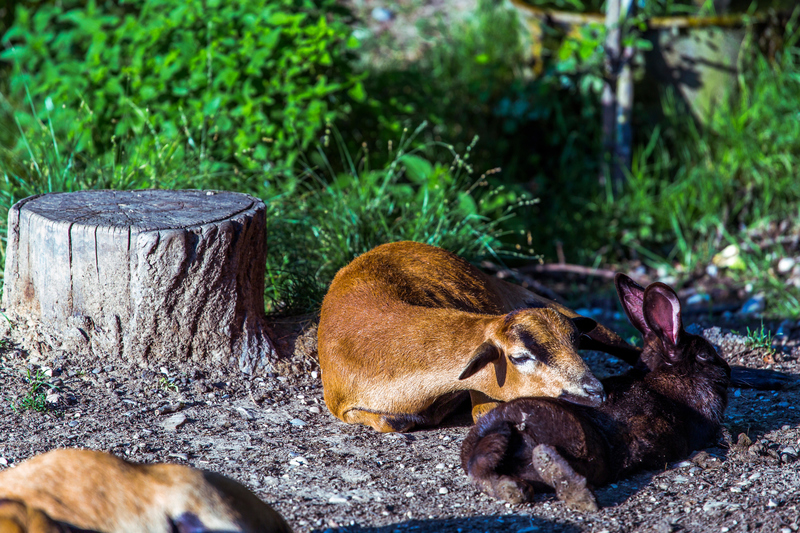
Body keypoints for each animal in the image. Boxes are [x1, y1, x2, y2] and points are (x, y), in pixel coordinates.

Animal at [462, 274, 732, 512]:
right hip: (585, 446)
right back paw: (577, 493)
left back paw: (514, 489)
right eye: (705, 355)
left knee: (484, 473)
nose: (728, 371)